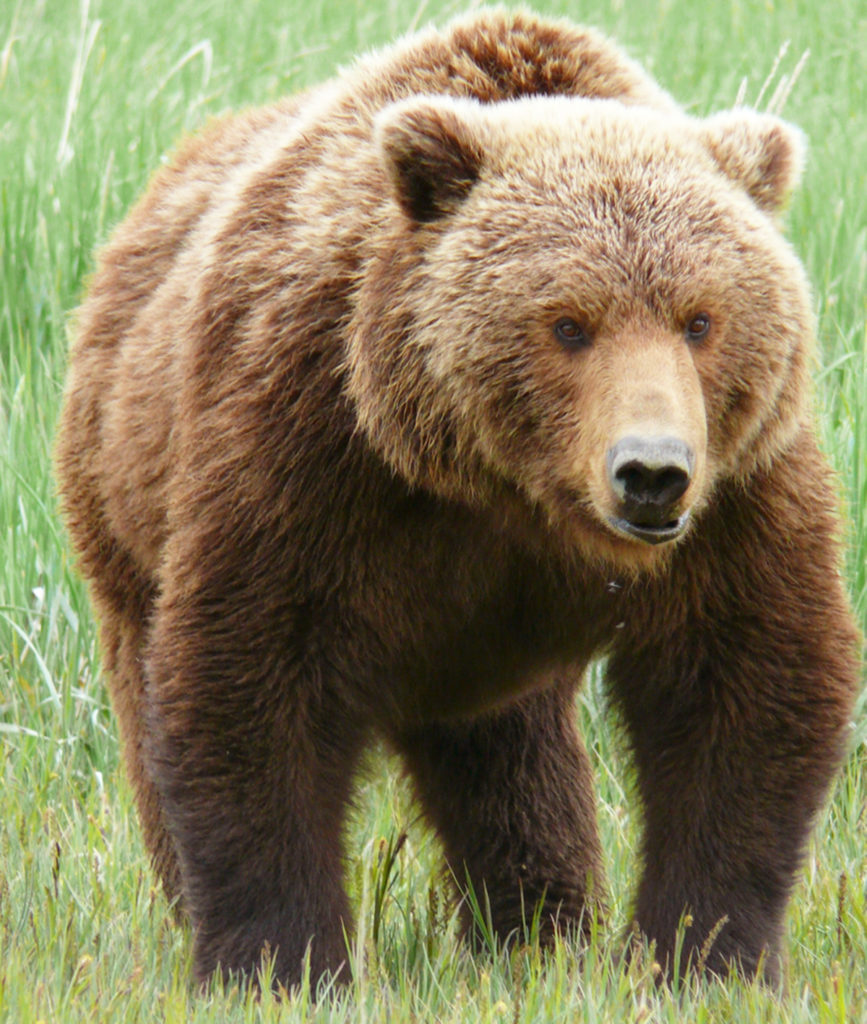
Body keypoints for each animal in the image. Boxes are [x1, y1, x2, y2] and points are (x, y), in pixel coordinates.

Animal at [56, 8, 859, 991]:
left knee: (511, 764)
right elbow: (253, 681)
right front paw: (281, 958)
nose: (650, 472)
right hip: (122, 508)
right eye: (567, 323)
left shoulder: (736, 491)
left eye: (700, 319)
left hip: (487, 656)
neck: (505, 486)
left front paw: (700, 954)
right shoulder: (307, 447)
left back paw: (537, 924)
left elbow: (744, 679)